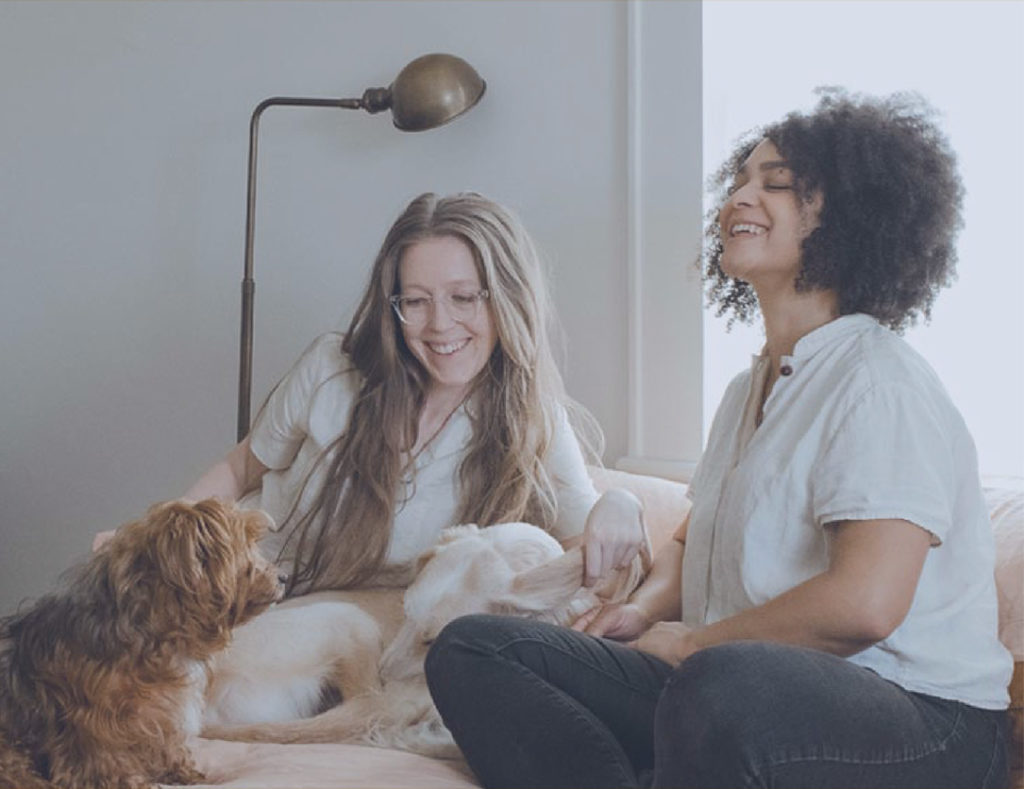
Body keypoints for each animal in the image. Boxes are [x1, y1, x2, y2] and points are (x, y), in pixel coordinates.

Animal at [0, 499, 282, 789]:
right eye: (245, 544)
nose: (282, 577)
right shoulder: (92, 718)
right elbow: (103, 753)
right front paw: (127, 780)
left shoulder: (161, 708)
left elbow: (167, 741)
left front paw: (183, 772)